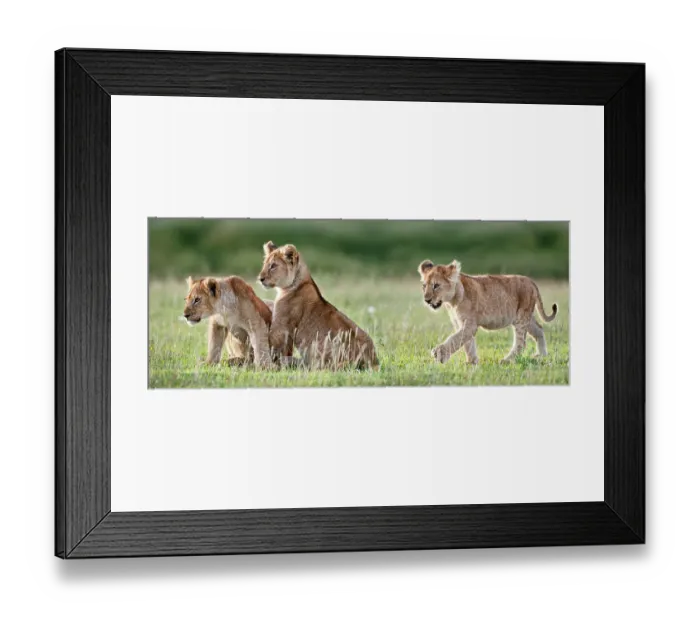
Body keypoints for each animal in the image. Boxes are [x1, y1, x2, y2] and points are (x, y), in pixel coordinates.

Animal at [418, 260, 558, 364]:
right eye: (424, 286)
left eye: (436, 286)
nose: (426, 300)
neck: (452, 302)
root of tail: (531, 281)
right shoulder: (460, 323)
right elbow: (467, 343)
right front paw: (471, 362)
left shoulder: (470, 324)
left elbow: (455, 339)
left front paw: (440, 354)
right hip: (526, 317)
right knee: (539, 329)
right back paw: (542, 356)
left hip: (521, 318)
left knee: (521, 343)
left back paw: (506, 361)